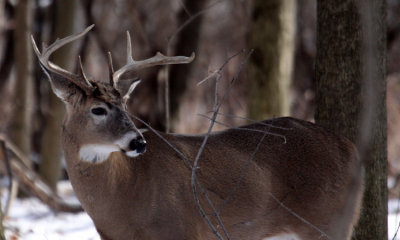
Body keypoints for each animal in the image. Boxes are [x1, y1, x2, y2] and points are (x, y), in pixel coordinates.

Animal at [30, 25, 362, 239]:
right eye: (98, 109)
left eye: (124, 104)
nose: (138, 142)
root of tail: (351, 148)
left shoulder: (182, 229)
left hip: (329, 222)